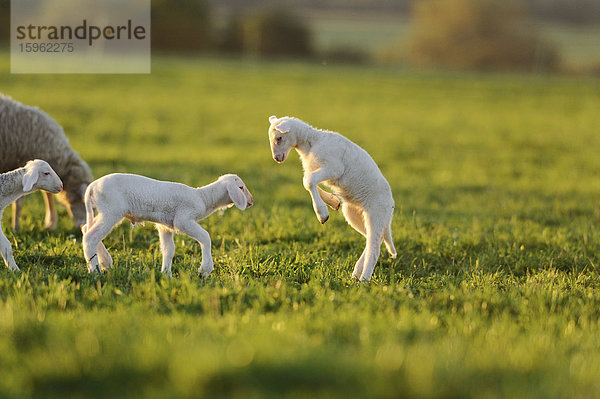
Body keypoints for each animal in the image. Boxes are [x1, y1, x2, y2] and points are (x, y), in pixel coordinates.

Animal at [0, 94, 93, 231]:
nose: (82, 227)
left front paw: (50, 222)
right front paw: (16, 227)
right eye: (84, 203)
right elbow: (19, 202)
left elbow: (47, 193)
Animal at [81, 173, 253, 276]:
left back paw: (105, 262)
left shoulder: (165, 226)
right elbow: (206, 237)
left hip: (105, 210)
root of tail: (92, 187)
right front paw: (205, 269)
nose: (251, 202)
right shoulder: (183, 219)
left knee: (85, 229)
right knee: (91, 236)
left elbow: (169, 249)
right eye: (241, 187)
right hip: (112, 210)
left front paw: (166, 275)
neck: (204, 198)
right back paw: (95, 271)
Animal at [270, 116, 396, 282]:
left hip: (377, 212)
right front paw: (332, 202)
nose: (277, 159)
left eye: (279, 138)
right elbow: (307, 181)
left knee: (374, 247)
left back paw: (363, 280)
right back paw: (356, 274)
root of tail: (391, 205)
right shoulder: (315, 169)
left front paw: (322, 214)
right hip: (353, 213)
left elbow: (308, 181)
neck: (311, 142)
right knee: (375, 239)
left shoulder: (334, 168)